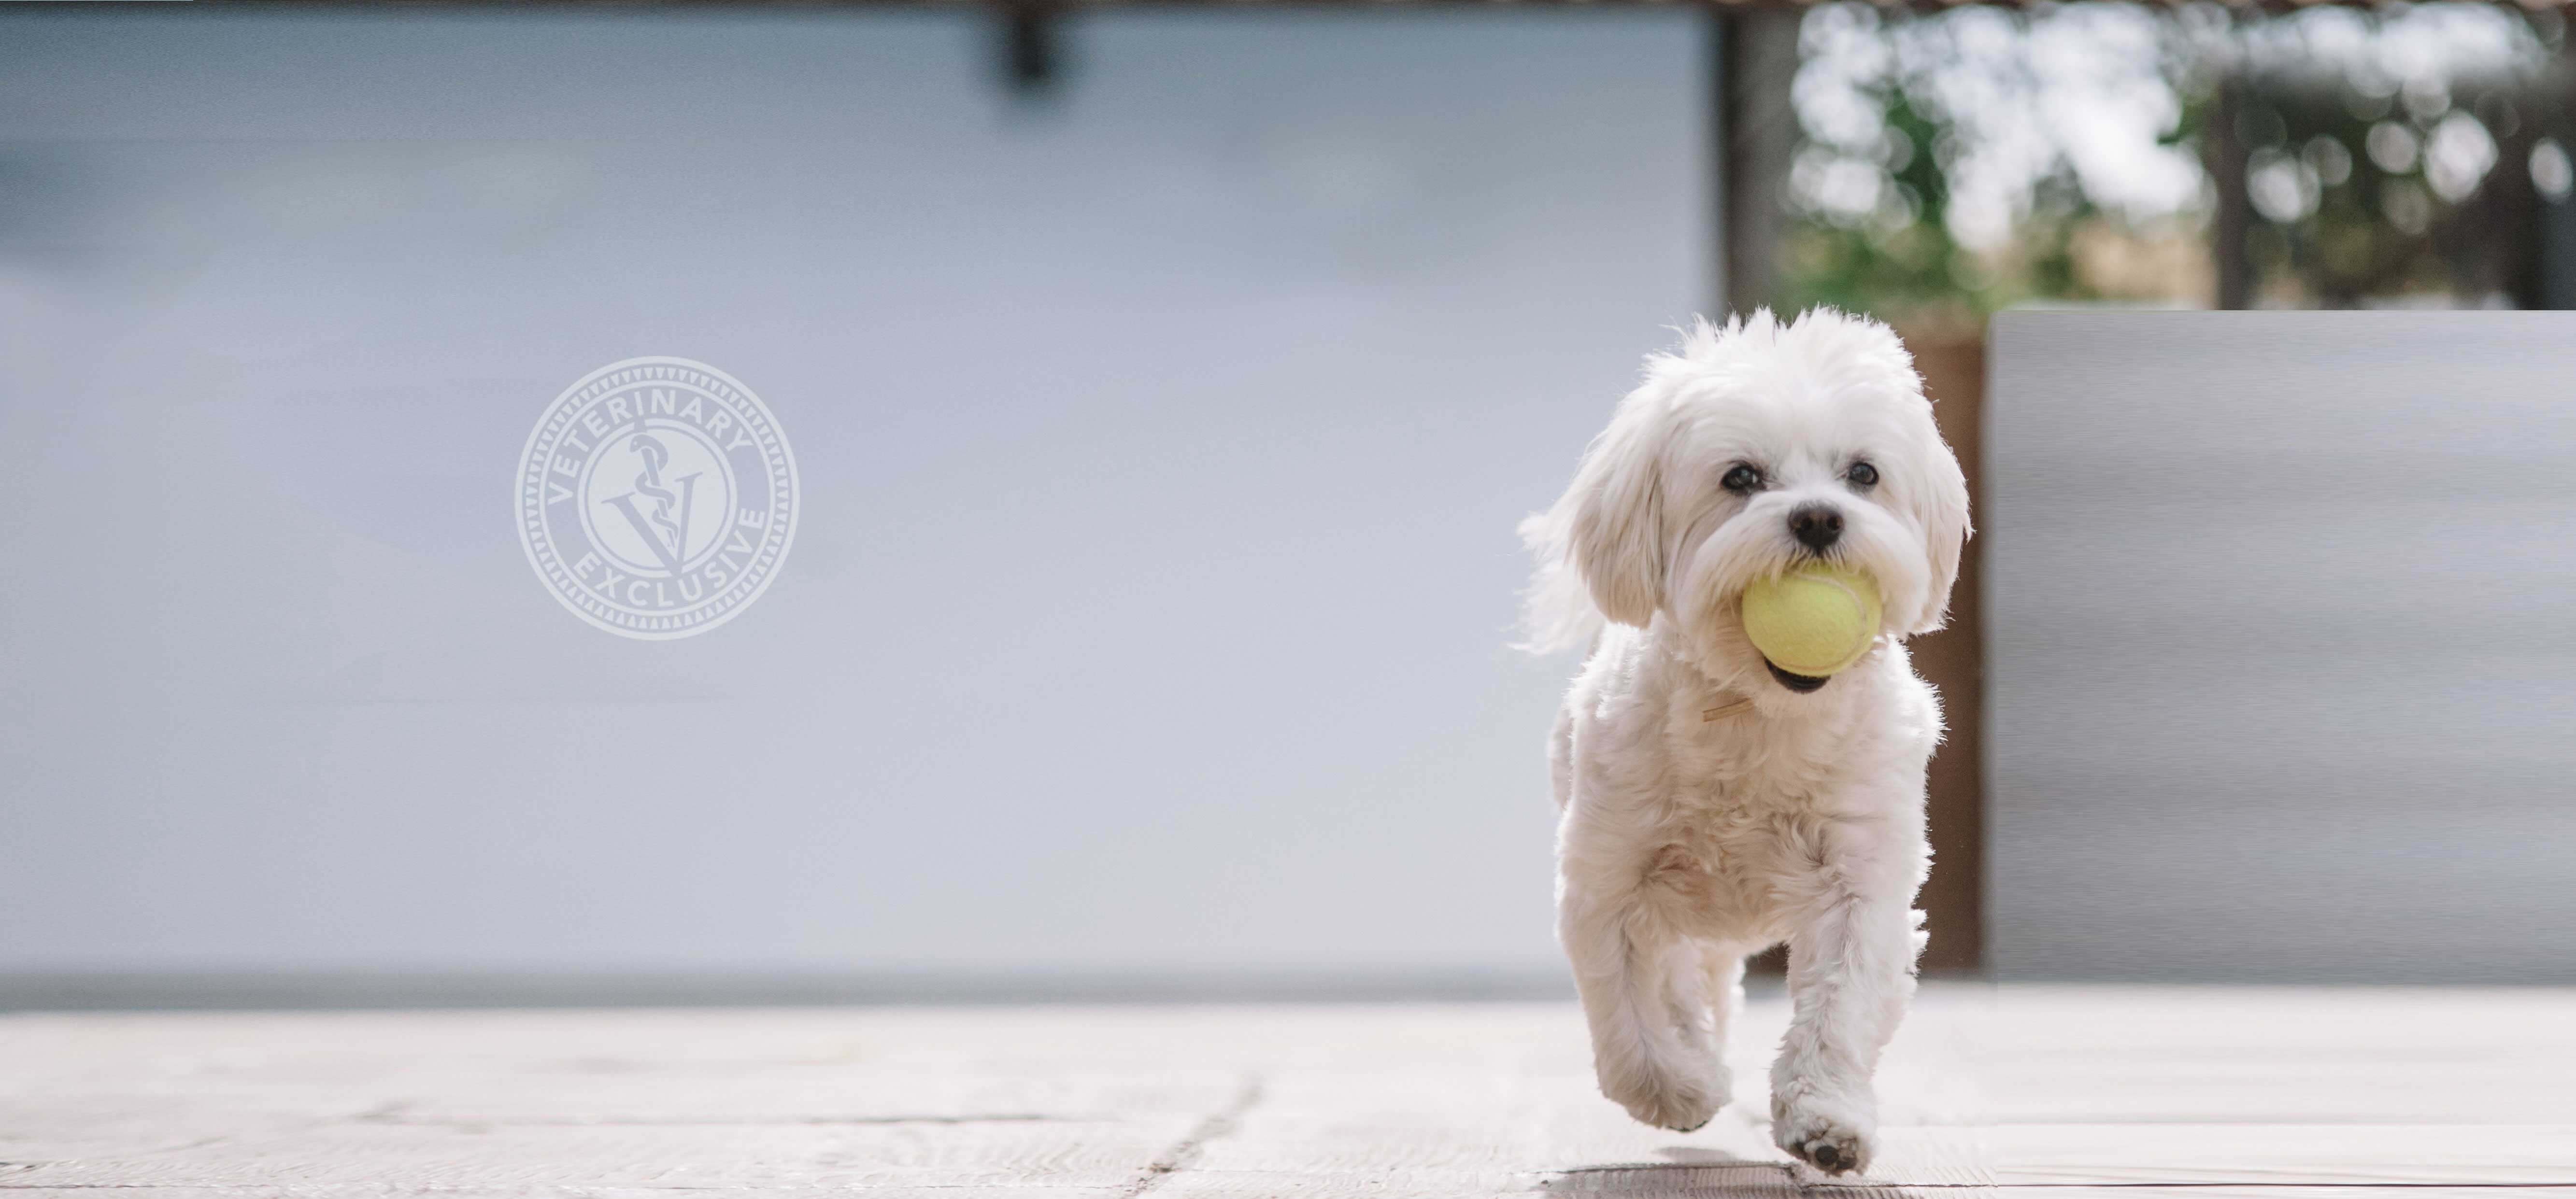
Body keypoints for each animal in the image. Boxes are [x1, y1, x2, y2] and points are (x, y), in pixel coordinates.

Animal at [1504, 306, 1968, 1173]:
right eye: (1741, 478)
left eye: (1862, 474)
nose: (1817, 516)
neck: (1758, 716)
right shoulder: (1609, 880)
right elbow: (1632, 1007)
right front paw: (1675, 1087)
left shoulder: (1861, 878)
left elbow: (1840, 1006)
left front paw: (1826, 1117)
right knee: (1686, 979)